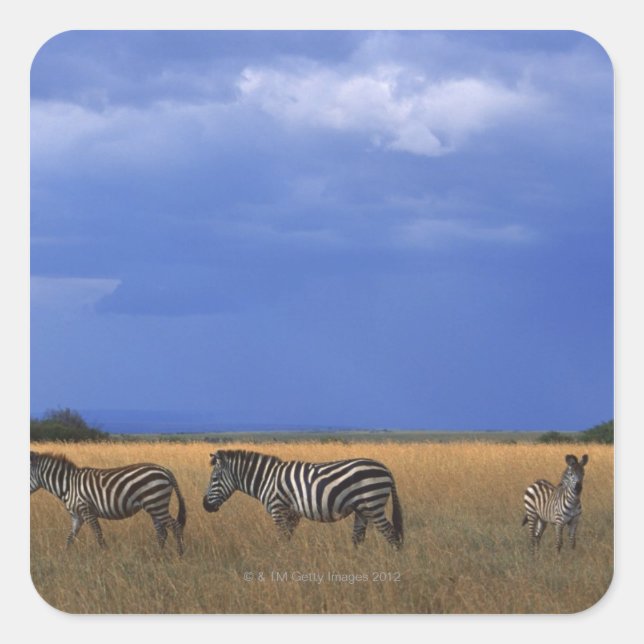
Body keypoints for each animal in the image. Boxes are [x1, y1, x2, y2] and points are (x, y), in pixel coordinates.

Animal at [30, 451, 186, 555]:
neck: (67, 486)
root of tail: (165, 470)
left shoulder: (87, 511)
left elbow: (98, 535)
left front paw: (106, 555)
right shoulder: (76, 516)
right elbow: (70, 537)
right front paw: (65, 556)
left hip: (156, 503)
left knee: (175, 527)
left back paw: (179, 555)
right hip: (155, 506)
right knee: (162, 532)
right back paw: (157, 555)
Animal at [202, 450, 403, 549]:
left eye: (214, 479)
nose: (204, 505)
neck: (267, 479)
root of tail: (386, 469)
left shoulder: (278, 509)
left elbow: (282, 540)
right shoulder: (292, 514)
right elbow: (288, 539)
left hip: (373, 504)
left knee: (392, 535)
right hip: (362, 509)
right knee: (358, 538)